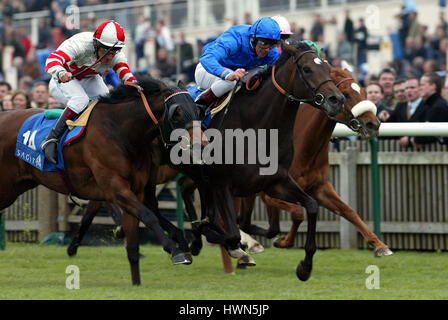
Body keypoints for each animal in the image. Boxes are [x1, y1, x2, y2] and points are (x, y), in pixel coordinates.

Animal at [0, 77, 206, 284]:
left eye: (197, 110)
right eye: (176, 114)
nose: (201, 144)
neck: (121, 131)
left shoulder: (135, 189)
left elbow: (134, 238)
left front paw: (137, 281)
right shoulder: (115, 187)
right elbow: (148, 216)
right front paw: (176, 251)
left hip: (14, 188)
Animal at [238, 66, 392, 256]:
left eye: (364, 92)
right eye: (345, 94)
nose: (373, 124)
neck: (305, 146)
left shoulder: (320, 187)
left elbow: (348, 210)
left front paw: (379, 244)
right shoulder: (270, 192)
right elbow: (297, 213)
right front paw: (283, 241)